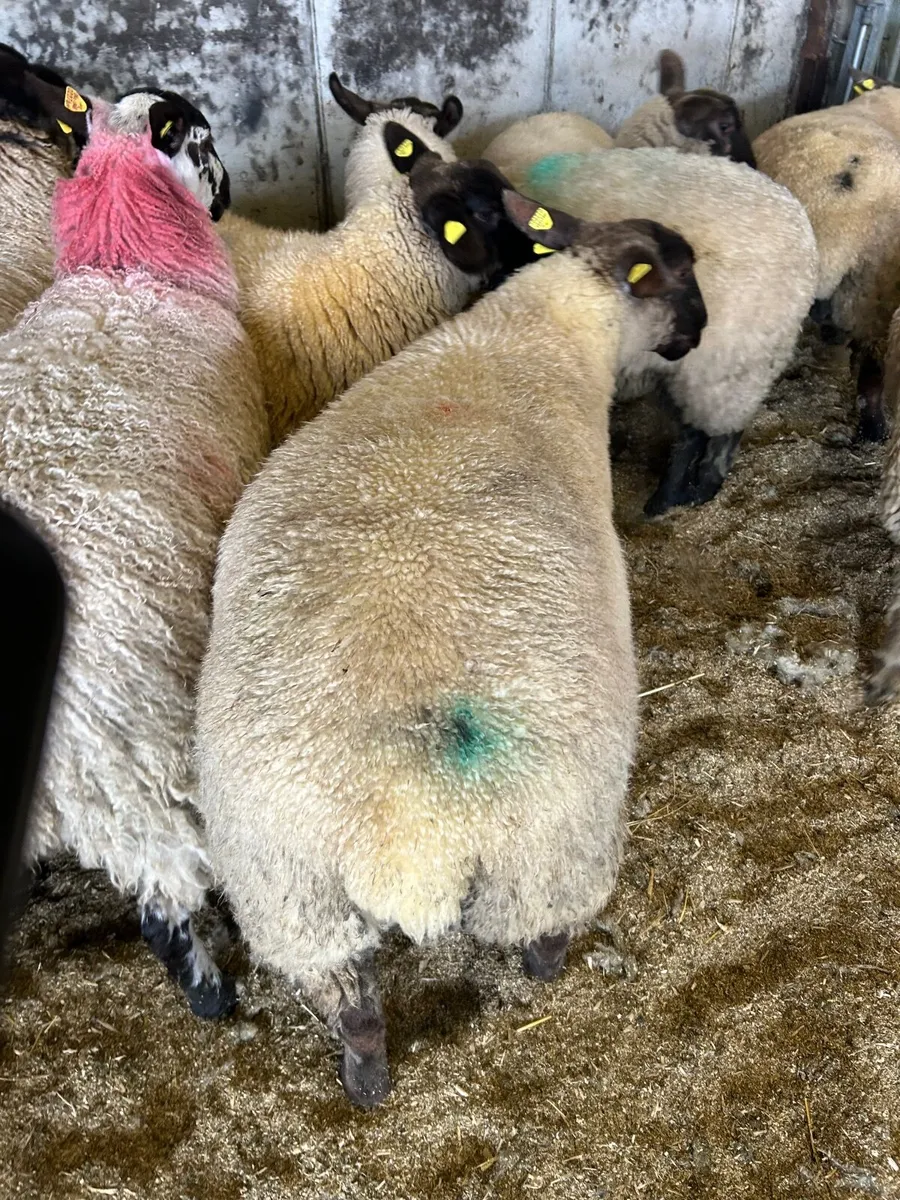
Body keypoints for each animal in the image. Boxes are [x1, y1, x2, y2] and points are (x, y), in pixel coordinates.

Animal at [0, 81, 268, 1017]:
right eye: (206, 142)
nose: (231, 195)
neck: (125, 268)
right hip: (128, 765)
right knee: (162, 902)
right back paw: (215, 997)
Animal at [195, 158, 708, 1105]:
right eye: (683, 279)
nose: (694, 339)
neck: (543, 332)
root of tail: (410, 831)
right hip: (549, 851)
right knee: (542, 935)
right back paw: (548, 967)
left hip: (292, 897)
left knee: (355, 1009)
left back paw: (366, 1085)